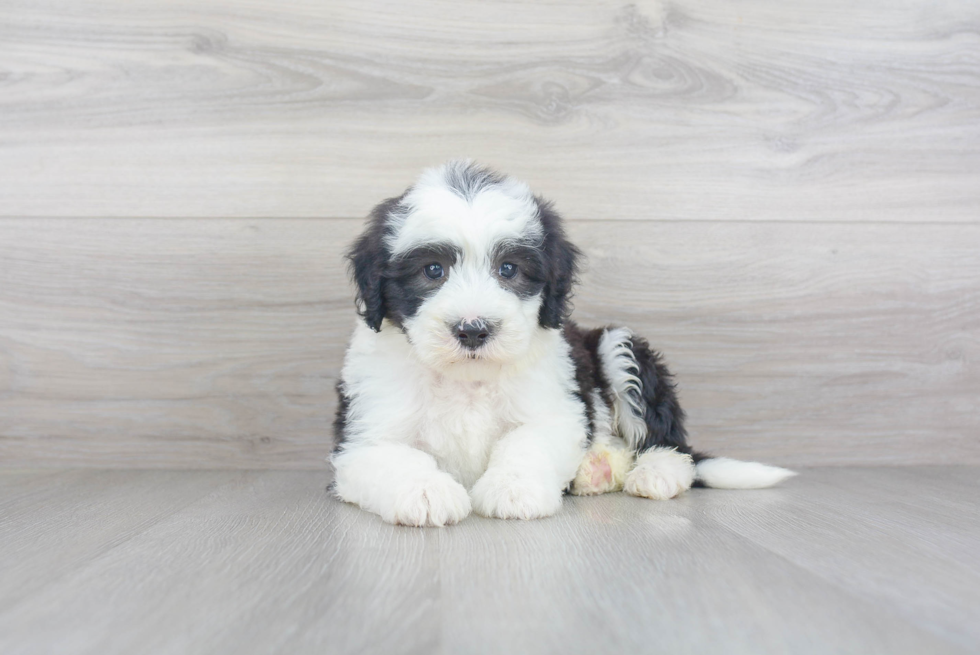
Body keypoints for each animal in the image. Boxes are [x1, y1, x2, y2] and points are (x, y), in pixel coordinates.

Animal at [334, 163, 792, 528]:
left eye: (509, 269)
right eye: (432, 270)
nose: (473, 330)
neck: (469, 379)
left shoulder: (555, 409)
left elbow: (524, 444)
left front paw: (512, 490)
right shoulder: (362, 434)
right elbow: (394, 458)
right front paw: (427, 492)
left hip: (618, 345)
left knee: (670, 440)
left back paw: (656, 472)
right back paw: (596, 471)